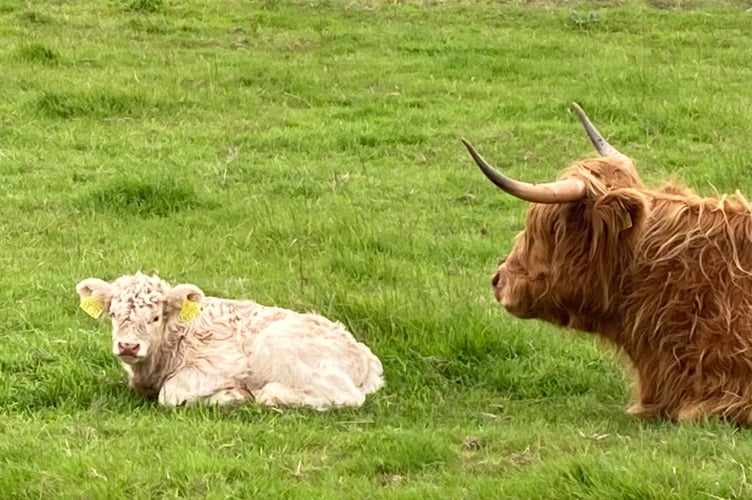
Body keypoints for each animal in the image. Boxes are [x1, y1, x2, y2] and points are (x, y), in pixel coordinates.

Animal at [76, 272, 384, 410]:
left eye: (155, 317)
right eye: (114, 314)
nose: (128, 346)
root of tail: (365, 357)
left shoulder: (222, 364)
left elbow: (171, 394)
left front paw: (232, 395)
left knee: (346, 397)